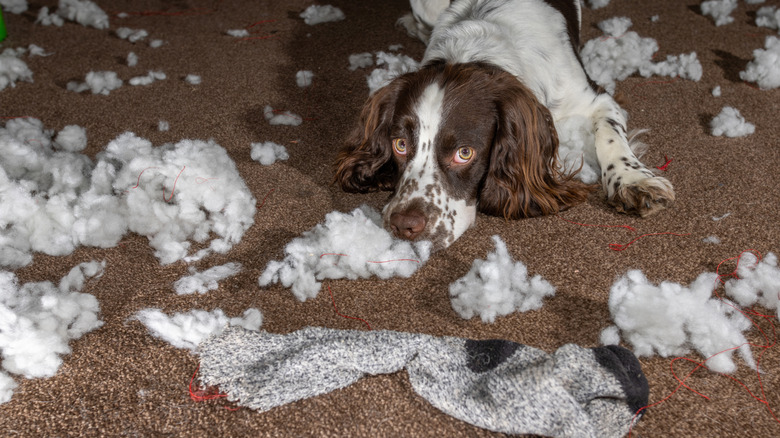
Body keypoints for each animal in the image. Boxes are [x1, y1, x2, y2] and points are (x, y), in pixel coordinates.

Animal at [332, 0, 672, 250]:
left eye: (464, 153)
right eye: (400, 145)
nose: (404, 225)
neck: (477, 54)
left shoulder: (595, 98)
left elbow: (609, 135)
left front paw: (633, 181)